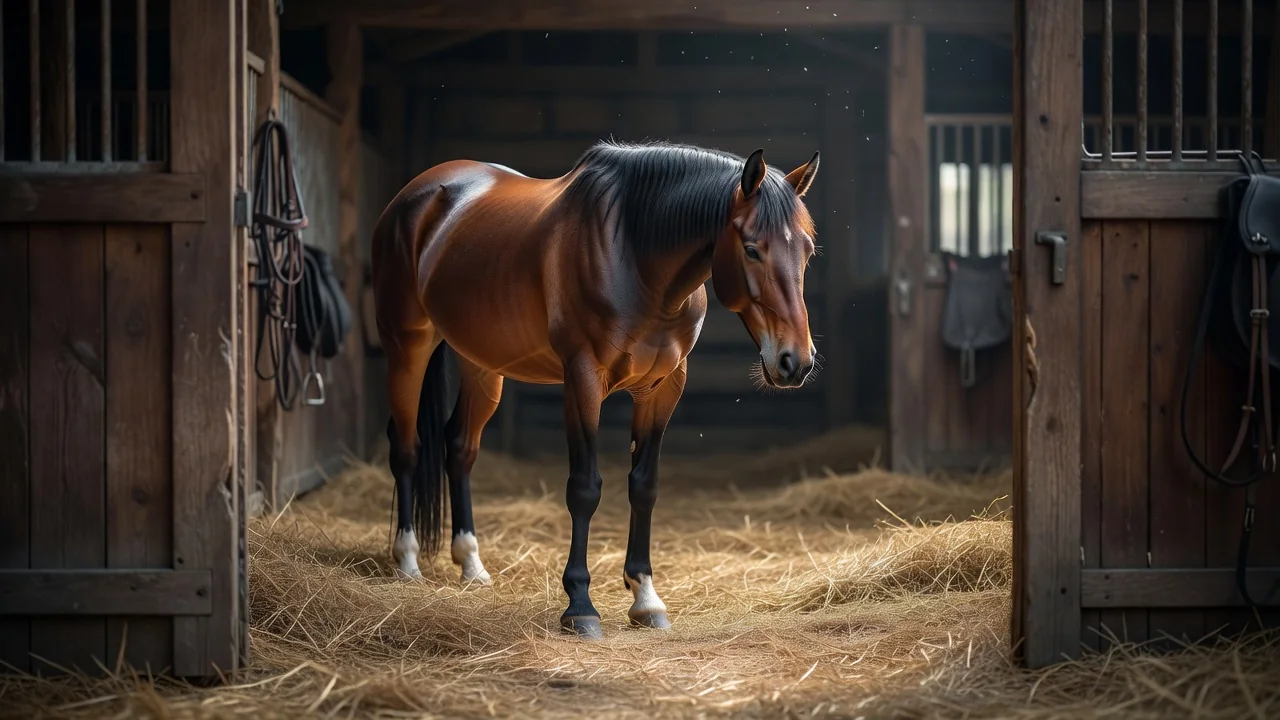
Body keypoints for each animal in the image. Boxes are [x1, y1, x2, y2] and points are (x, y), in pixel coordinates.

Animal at [370, 139, 822, 640]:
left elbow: (644, 486)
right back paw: (407, 562)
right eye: (752, 249)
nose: (795, 362)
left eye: (807, 251)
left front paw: (645, 598)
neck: (635, 256)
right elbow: (584, 488)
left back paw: (471, 566)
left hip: (482, 365)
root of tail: (418, 193)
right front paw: (580, 607)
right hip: (407, 348)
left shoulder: (663, 387)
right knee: (407, 448)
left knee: (459, 448)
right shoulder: (582, 379)